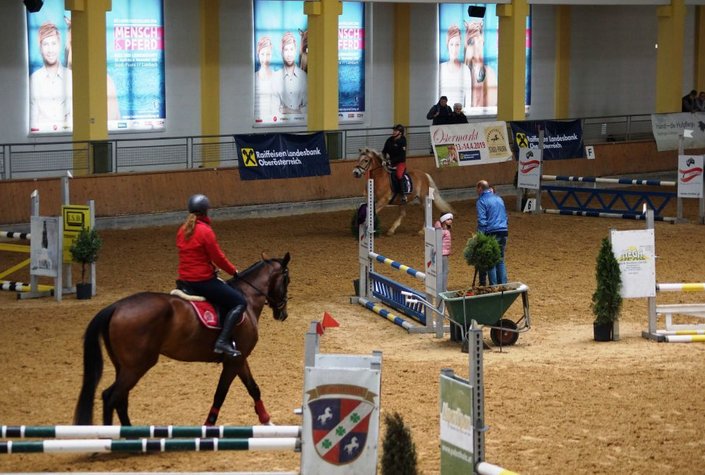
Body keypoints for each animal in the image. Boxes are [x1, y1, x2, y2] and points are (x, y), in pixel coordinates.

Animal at [73, 253, 288, 428]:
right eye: (287, 280)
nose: (282, 314)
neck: (247, 298)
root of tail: (116, 306)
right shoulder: (234, 361)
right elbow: (220, 393)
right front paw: (208, 427)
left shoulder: (239, 358)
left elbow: (253, 388)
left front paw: (267, 421)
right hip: (136, 366)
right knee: (111, 397)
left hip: (124, 367)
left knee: (119, 399)